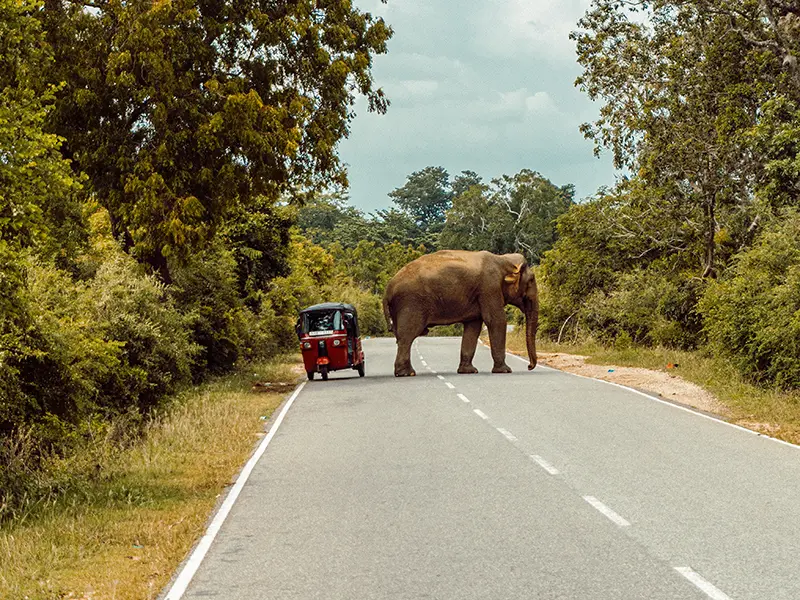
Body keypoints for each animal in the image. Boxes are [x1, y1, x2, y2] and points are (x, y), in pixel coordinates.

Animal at [382, 250, 538, 377]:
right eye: (531, 280)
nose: (529, 366)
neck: (503, 259)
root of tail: (388, 290)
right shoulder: (490, 287)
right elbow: (496, 321)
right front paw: (505, 371)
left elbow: (473, 326)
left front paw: (469, 371)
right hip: (411, 303)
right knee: (407, 336)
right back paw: (407, 373)